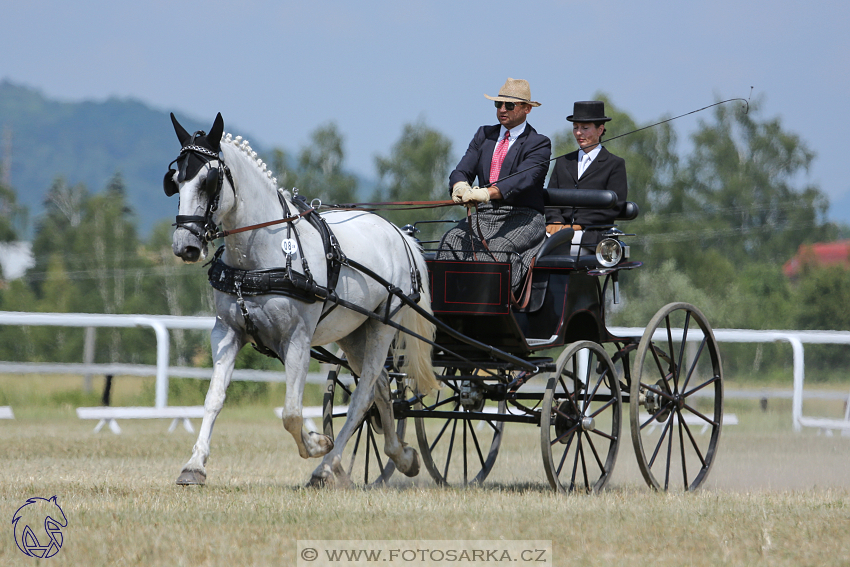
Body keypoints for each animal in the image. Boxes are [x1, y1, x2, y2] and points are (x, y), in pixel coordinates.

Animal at [163, 114, 438, 488]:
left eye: (209, 181)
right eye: (176, 181)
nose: (185, 246)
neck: (259, 258)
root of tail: (400, 234)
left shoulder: (296, 338)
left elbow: (292, 412)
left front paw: (318, 443)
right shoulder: (227, 333)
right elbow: (214, 399)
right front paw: (194, 465)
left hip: (382, 327)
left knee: (364, 393)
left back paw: (327, 466)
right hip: (353, 332)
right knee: (380, 386)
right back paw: (401, 455)